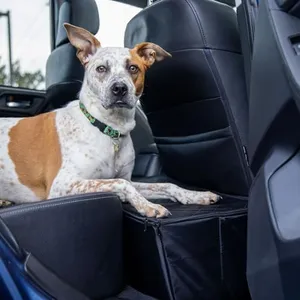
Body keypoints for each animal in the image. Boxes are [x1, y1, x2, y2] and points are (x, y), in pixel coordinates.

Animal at [0, 22, 220, 216]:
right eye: (101, 69)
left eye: (133, 68)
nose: (119, 89)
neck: (109, 128)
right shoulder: (63, 185)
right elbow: (122, 185)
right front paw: (148, 205)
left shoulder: (129, 179)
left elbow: (167, 184)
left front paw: (195, 195)